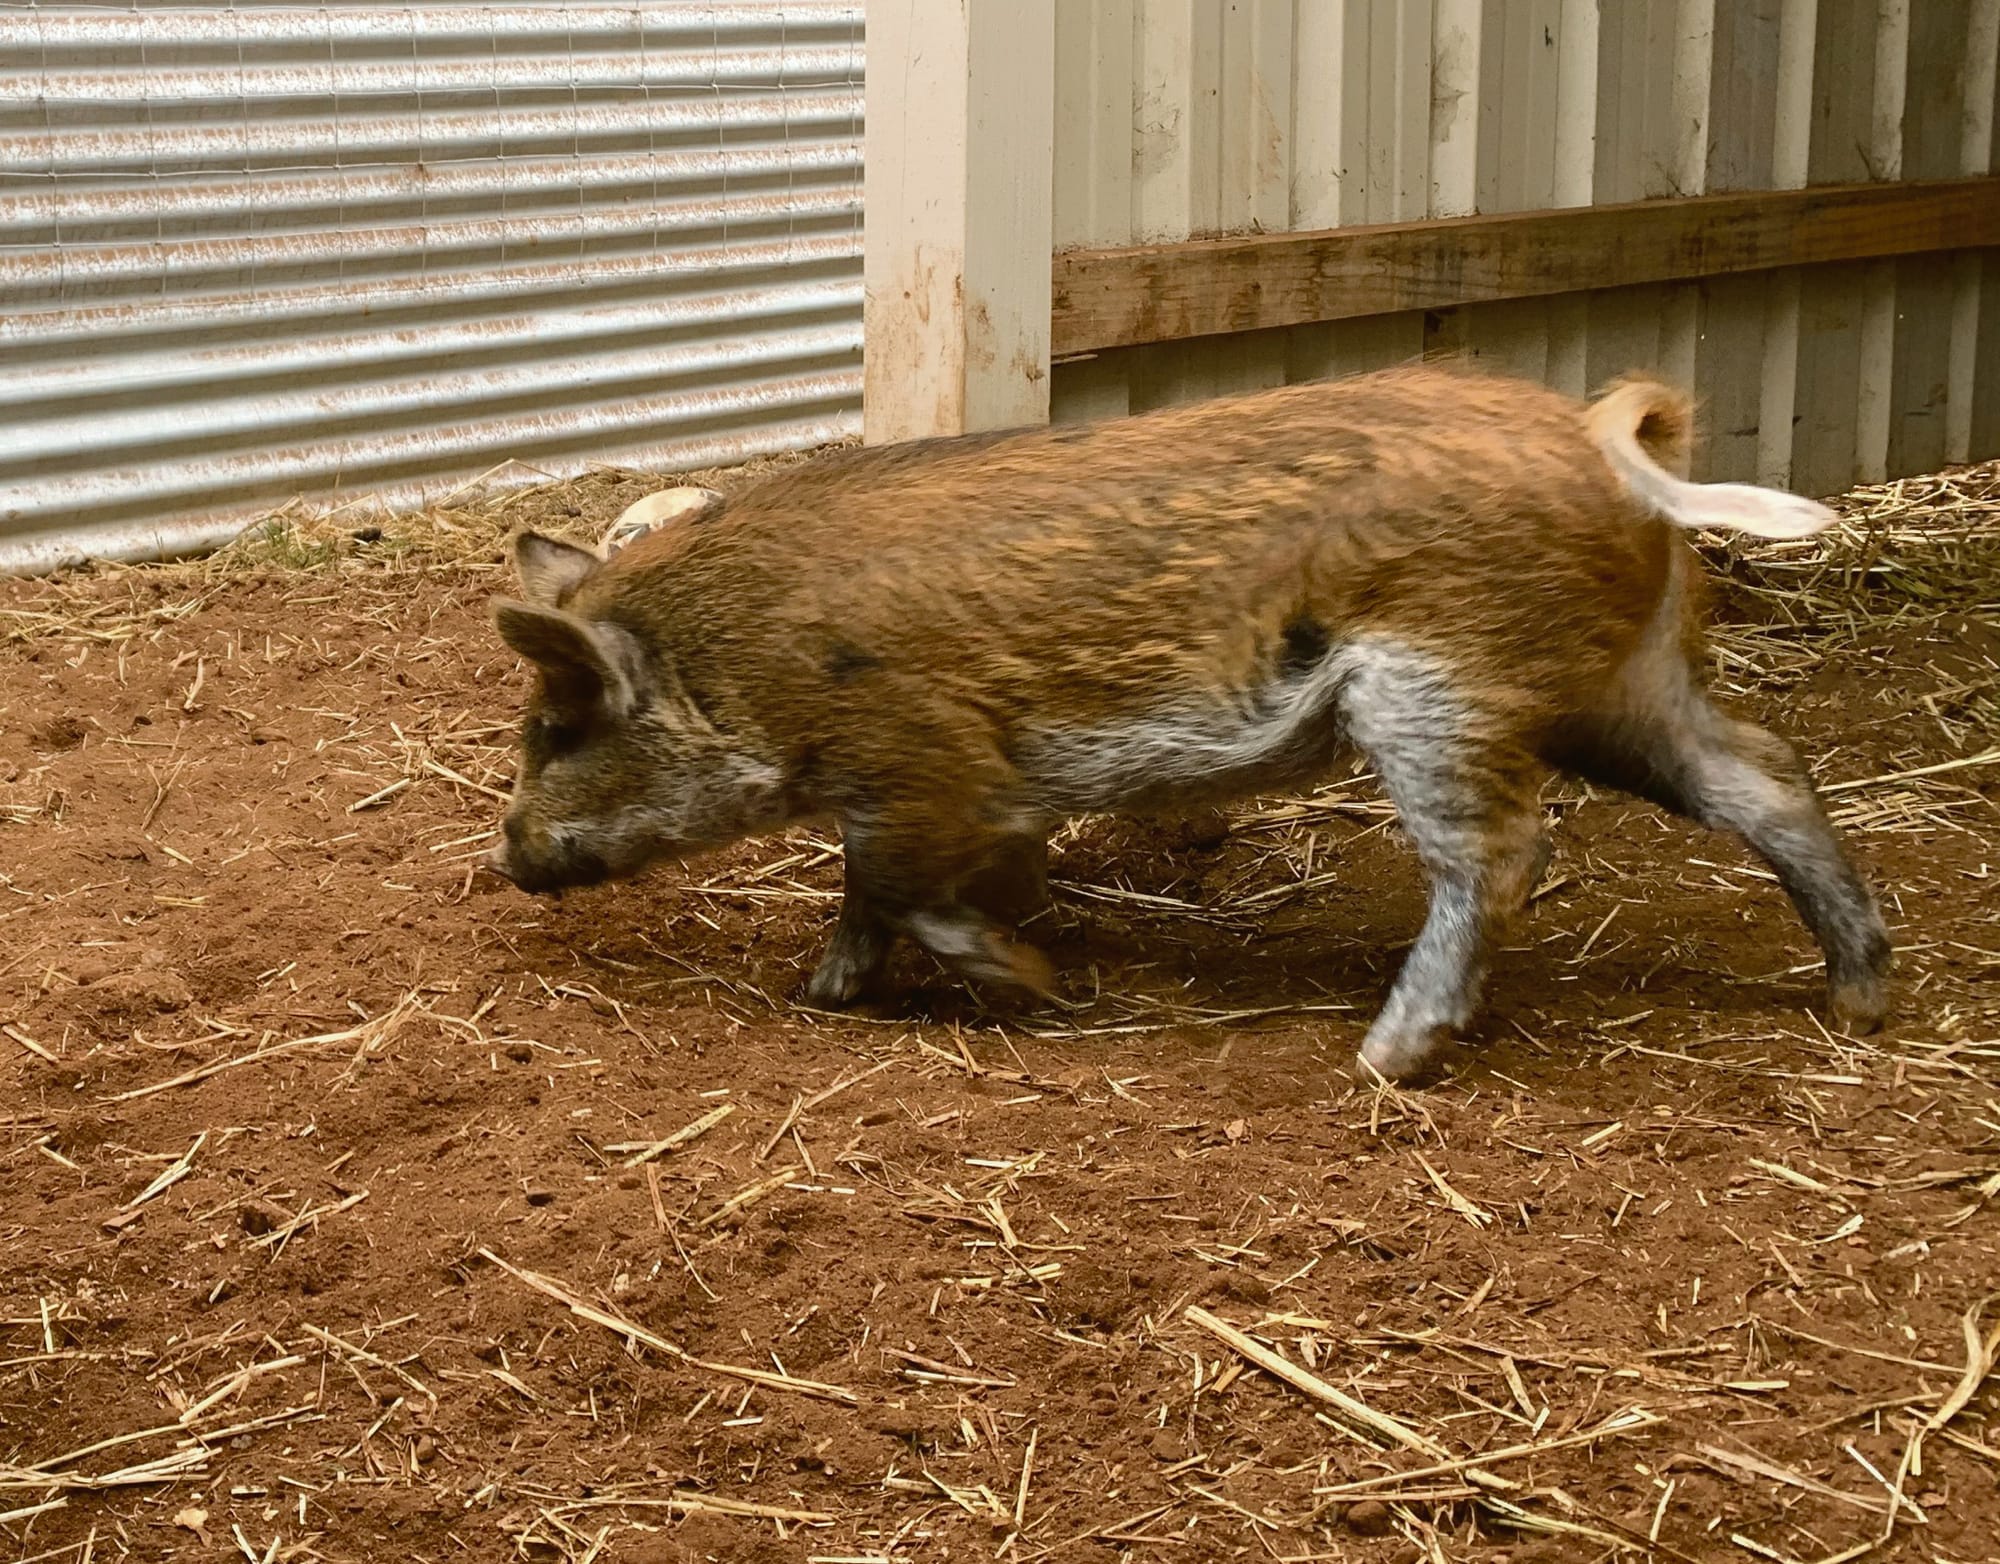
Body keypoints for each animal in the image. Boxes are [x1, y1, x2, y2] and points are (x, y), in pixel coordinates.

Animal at [485, 364, 1890, 1082]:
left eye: (555, 728)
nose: (506, 858)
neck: (751, 658)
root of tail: (1600, 444)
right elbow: (865, 899)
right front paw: (825, 992)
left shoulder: (925, 771)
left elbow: (891, 888)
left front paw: (1037, 990)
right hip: (1626, 684)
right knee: (1765, 774)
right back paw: (1857, 998)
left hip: (1440, 688)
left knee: (1498, 854)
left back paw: (1380, 1058)